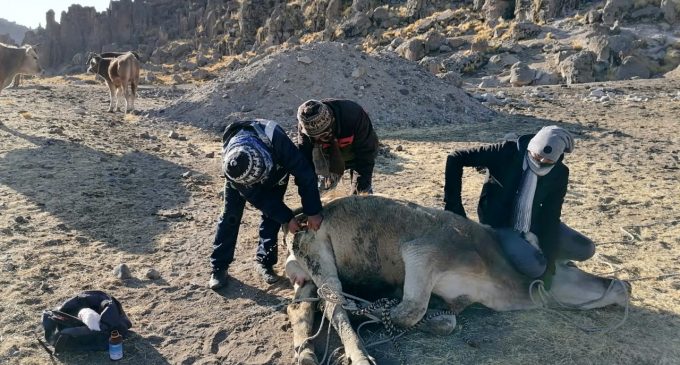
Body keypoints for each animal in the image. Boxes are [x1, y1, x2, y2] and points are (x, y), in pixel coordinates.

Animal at [284, 196, 628, 364]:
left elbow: (444, 321)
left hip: (306, 268)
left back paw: (306, 354)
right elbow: (409, 311)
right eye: (568, 265)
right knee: (334, 303)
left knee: (300, 306)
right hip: (318, 251)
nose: (625, 285)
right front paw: (369, 309)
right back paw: (360, 354)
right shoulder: (423, 252)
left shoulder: (457, 299)